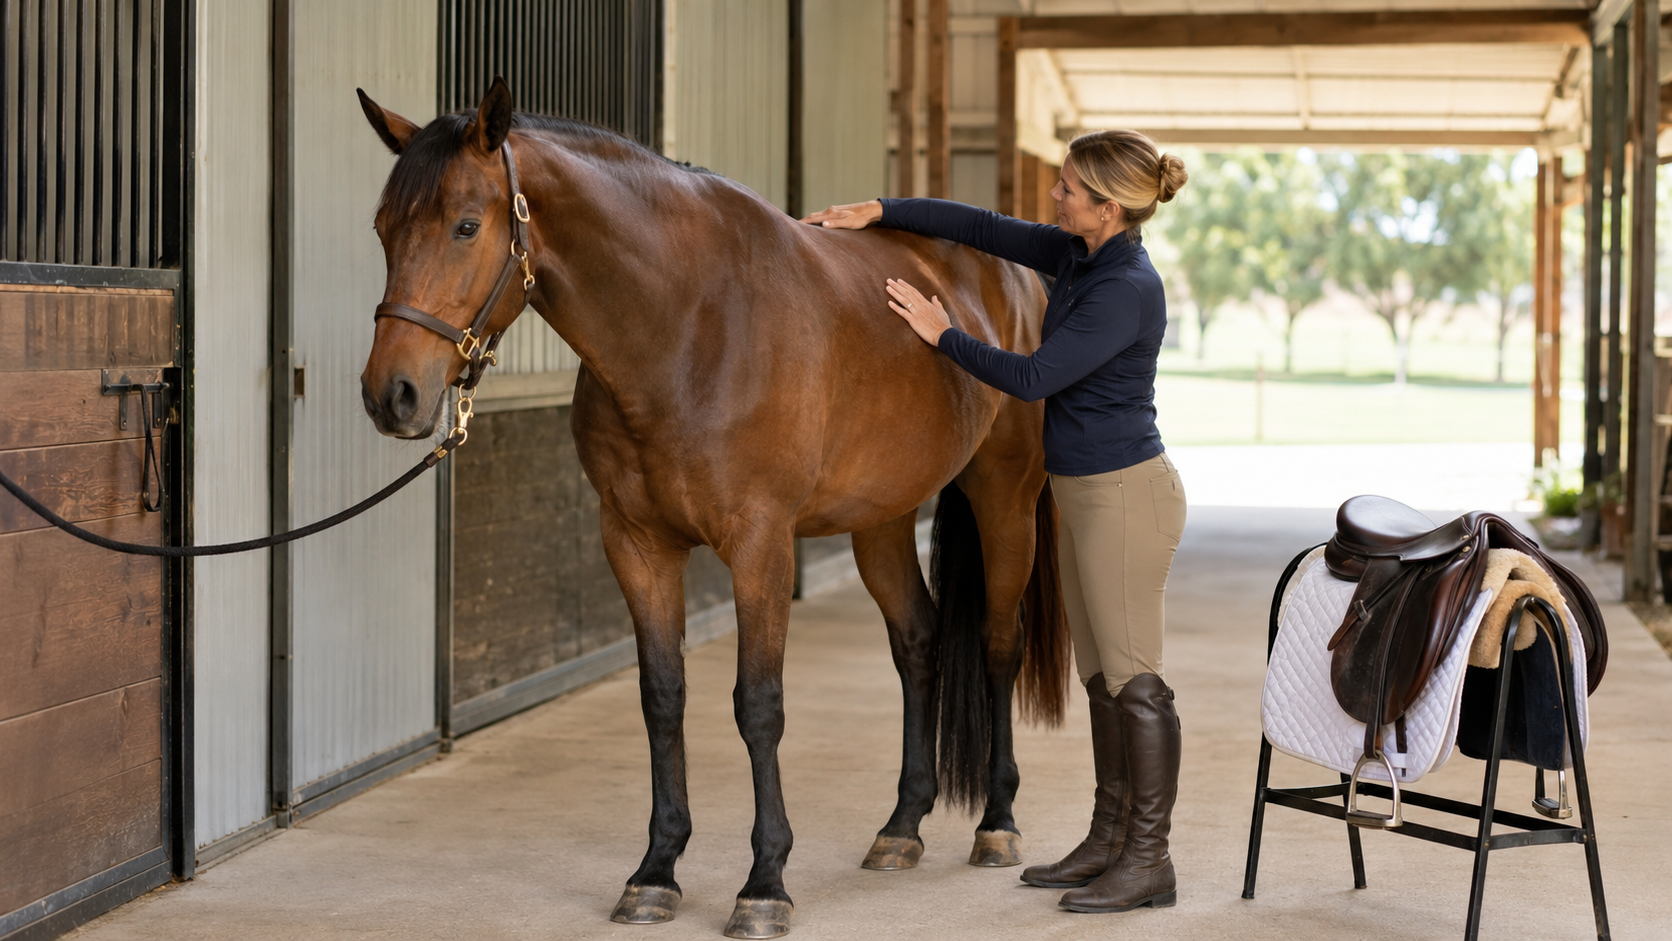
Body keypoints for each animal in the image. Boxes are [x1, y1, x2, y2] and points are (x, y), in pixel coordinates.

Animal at [356, 78, 1069, 940]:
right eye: (384, 227)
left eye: (465, 224)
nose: (392, 395)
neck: (688, 328)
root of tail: (1009, 275)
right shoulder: (635, 543)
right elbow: (662, 698)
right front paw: (656, 871)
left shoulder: (761, 545)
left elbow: (757, 706)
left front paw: (764, 884)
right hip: (882, 518)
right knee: (919, 644)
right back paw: (901, 826)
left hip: (1006, 494)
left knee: (998, 644)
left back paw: (997, 822)